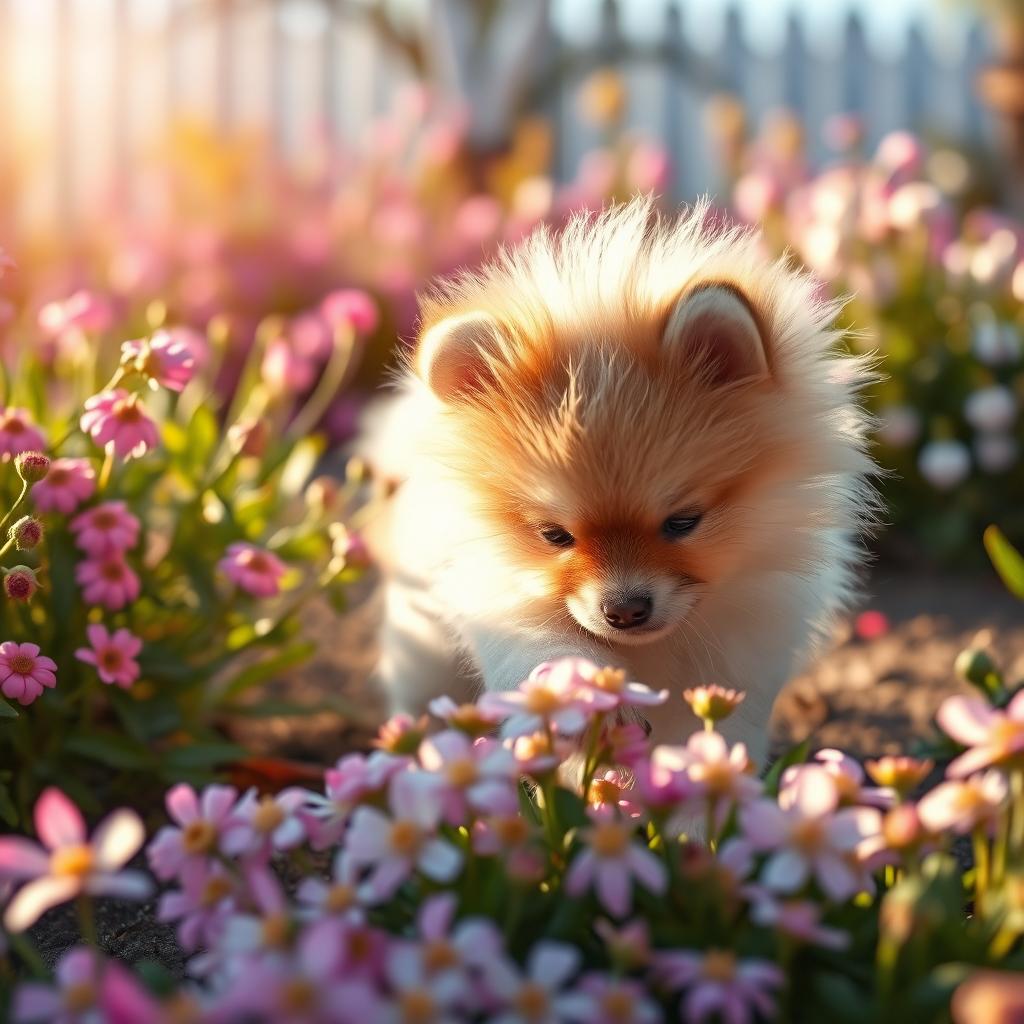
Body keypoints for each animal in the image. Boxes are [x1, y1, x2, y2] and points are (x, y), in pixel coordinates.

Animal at [368, 195, 872, 765]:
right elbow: (542, 647)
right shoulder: (502, 600)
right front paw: (582, 696)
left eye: (683, 522)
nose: (624, 609)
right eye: (554, 536)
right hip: (422, 640)